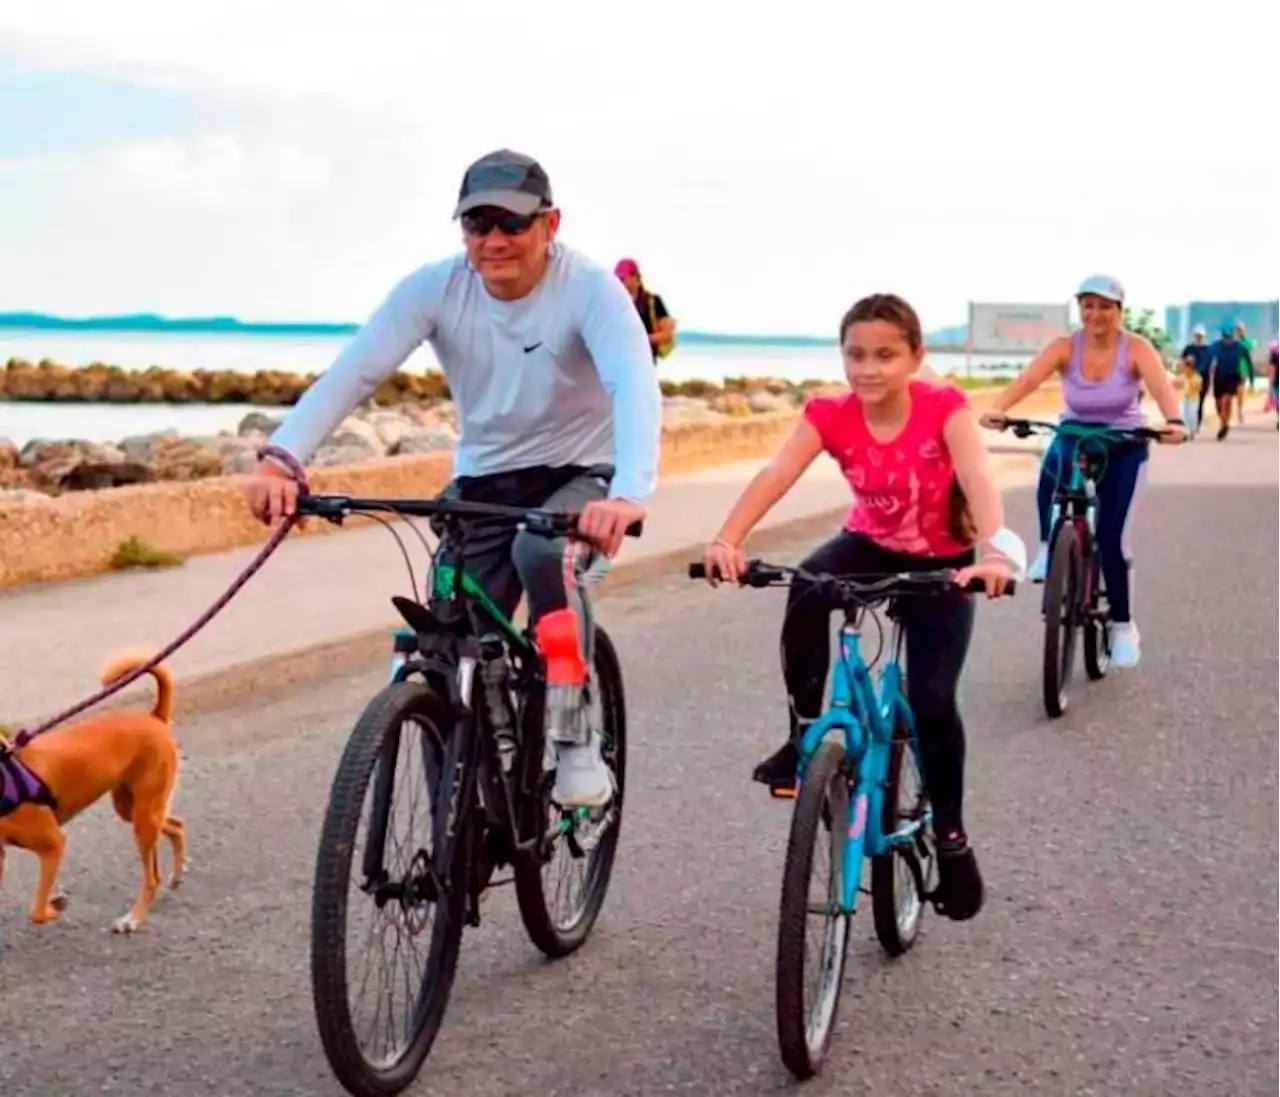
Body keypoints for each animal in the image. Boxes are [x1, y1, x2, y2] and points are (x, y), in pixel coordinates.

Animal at [0, 655, 186, 926]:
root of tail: (154, 717)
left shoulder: (54, 844)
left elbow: (36, 911)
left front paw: (55, 905)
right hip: (132, 809)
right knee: (176, 825)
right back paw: (177, 875)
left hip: (143, 816)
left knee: (152, 878)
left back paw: (133, 919)